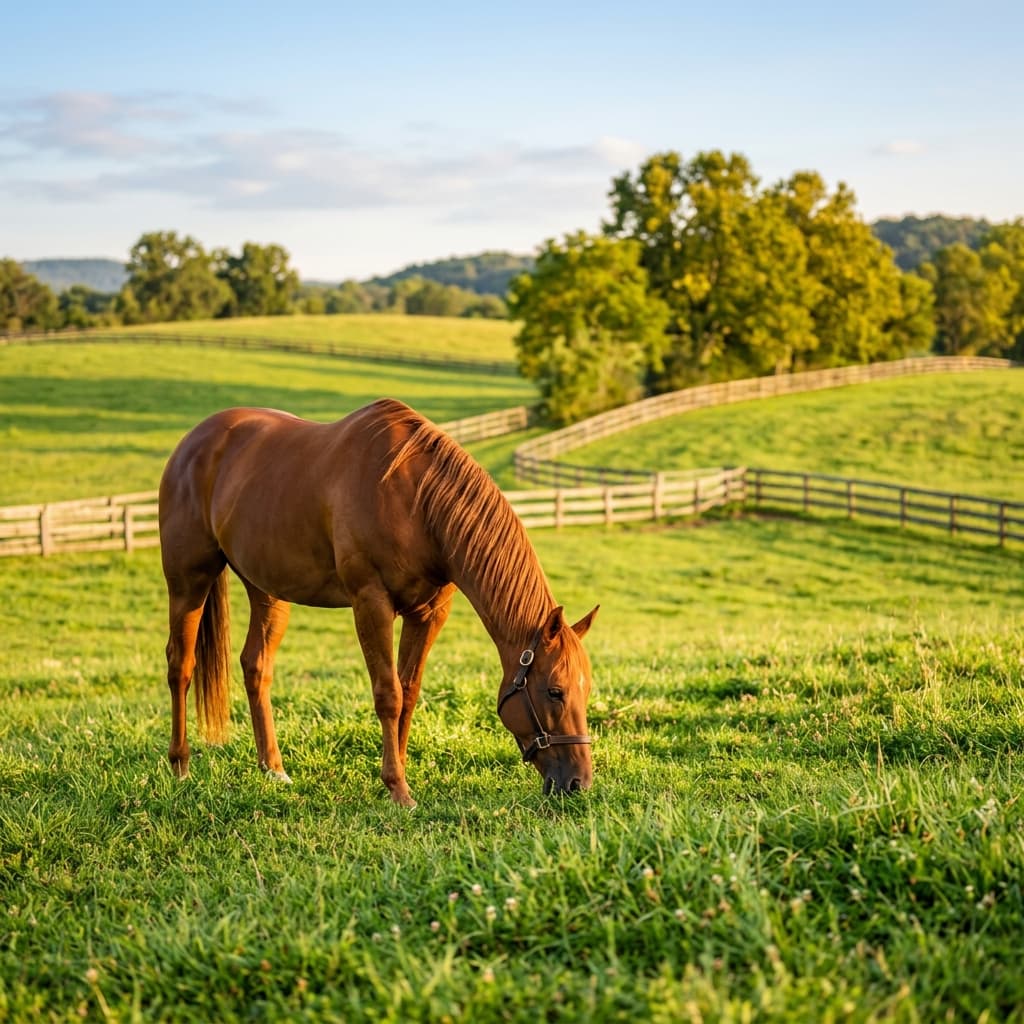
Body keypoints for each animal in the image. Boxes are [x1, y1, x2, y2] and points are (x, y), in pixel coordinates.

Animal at [158, 398, 599, 806]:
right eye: (554, 691)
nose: (578, 783)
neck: (417, 501)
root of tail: (194, 442)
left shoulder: (429, 614)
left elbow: (409, 693)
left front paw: (396, 776)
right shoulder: (371, 603)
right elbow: (389, 695)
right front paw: (398, 789)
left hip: (266, 590)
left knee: (256, 667)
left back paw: (274, 769)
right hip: (188, 581)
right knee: (181, 665)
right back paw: (180, 766)